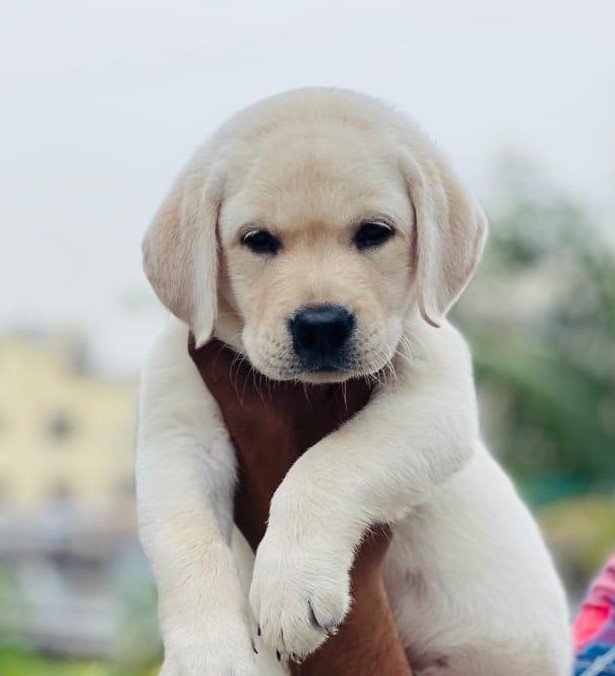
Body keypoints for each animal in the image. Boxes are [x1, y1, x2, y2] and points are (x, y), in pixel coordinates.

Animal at [136, 87, 572, 672]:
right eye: (257, 240)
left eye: (374, 233)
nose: (321, 325)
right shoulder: (177, 439)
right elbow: (185, 542)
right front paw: (208, 656)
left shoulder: (435, 398)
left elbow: (330, 465)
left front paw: (291, 585)